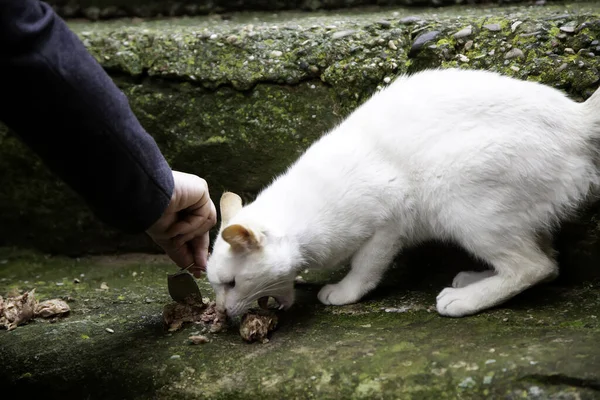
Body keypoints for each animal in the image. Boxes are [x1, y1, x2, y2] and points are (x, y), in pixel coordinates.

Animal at [204, 68, 596, 318]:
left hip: (459, 198)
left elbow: (365, 267)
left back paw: (464, 300)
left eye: (231, 284)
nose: (221, 312)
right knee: (548, 262)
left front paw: (344, 292)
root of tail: (577, 118)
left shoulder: (388, 222)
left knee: (534, 265)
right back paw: (473, 278)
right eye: (217, 286)